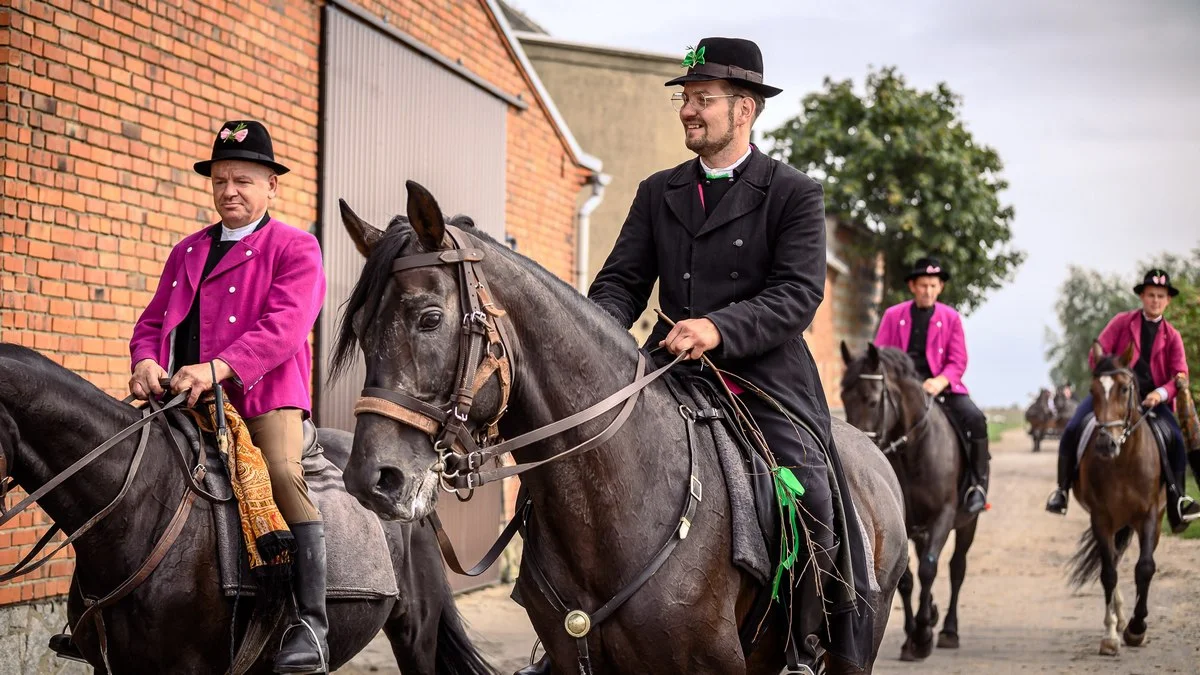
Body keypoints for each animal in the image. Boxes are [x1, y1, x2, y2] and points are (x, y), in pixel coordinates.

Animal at [840, 343, 979, 658]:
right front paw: (911, 636)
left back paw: (948, 630)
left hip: (968, 524)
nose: (861, 442)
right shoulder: (905, 526)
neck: (914, 451)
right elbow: (906, 580)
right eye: (843, 398)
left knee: (957, 569)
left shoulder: (943, 516)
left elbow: (929, 569)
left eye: (872, 400)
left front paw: (924, 633)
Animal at [1070, 341, 1161, 653]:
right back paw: (1119, 619)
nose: (1105, 444)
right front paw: (1110, 635)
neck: (1124, 461)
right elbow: (1108, 572)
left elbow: (1145, 567)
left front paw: (1137, 628)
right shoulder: (1101, 518)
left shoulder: (1149, 515)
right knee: (1111, 560)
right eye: (1092, 390)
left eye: (1124, 388)